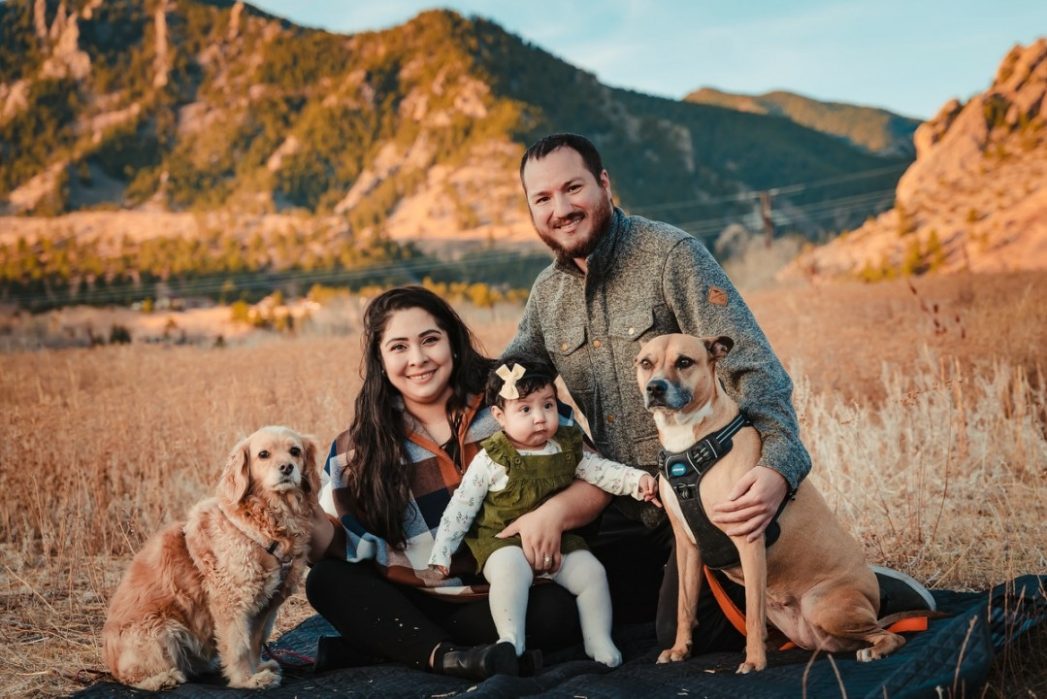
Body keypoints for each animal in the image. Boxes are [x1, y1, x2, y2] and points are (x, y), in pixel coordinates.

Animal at [105, 426, 320, 686]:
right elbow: (239, 646)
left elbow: (255, 643)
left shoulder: (267, 608)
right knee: (131, 677)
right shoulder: (232, 602)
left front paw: (257, 669)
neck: (267, 524)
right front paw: (246, 679)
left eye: (295, 451)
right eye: (263, 454)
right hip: (161, 631)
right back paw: (164, 678)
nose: (287, 467)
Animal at [632, 334, 904, 673]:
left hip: (822, 605)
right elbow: (684, 607)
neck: (689, 441)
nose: (655, 388)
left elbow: (752, 616)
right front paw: (680, 650)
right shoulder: (687, 548)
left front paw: (754, 662)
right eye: (646, 363)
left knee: (892, 635)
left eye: (684, 362)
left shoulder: (747, 540)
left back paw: (875, 650)